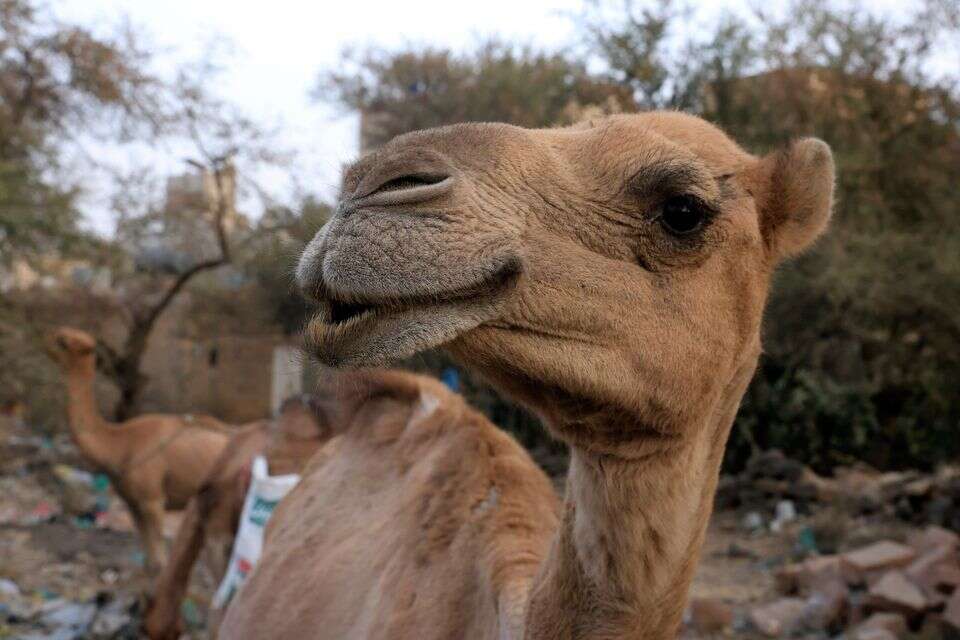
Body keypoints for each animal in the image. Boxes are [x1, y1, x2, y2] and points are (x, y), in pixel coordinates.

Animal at [47, 326, 232, 573]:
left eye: (63, 341)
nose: (45, 337)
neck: (120, 444)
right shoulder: (133, 503)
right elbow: (148, 561)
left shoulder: (152, 499)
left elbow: (159, 562)